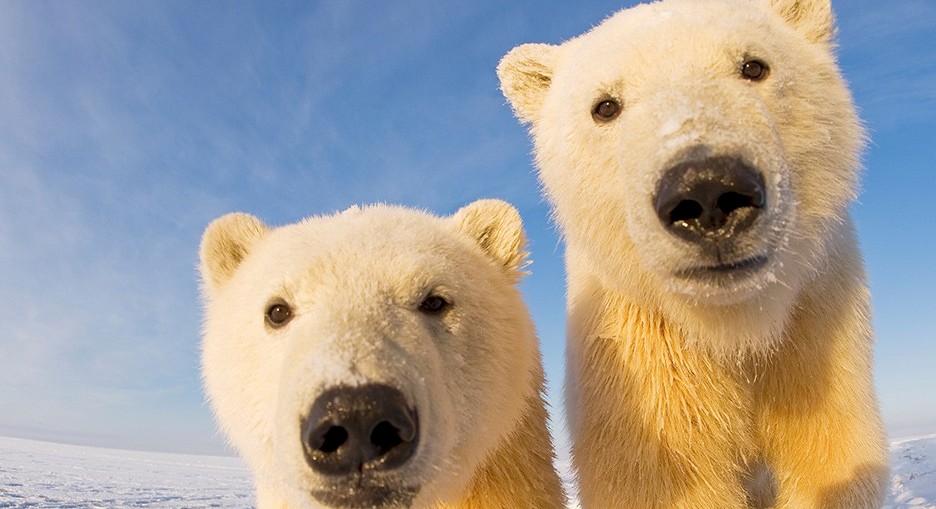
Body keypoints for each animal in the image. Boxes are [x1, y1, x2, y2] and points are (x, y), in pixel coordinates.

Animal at [497, 0, 888, 508]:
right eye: (605, 106)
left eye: (753, 66)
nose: (706, 192)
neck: (733, 327)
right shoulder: (645, 357)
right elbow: (666, 477)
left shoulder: (816, 327)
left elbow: (829, 457)